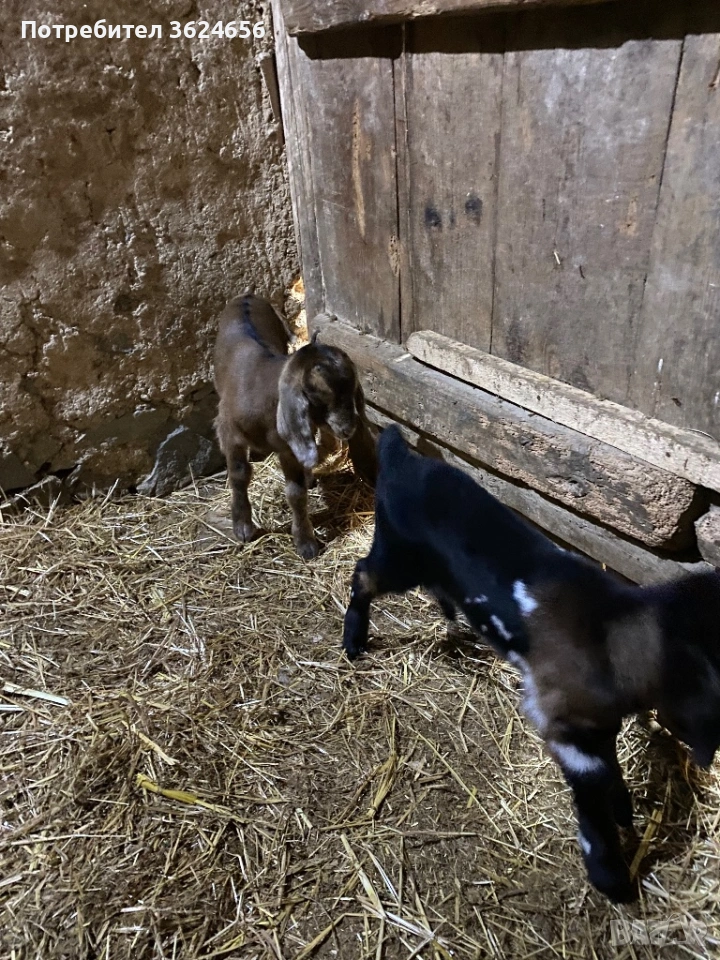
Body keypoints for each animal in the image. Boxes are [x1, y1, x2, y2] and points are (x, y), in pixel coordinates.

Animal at [213, 294, 377, 559]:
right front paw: (243, 526)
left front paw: (305, 542)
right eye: (319, 396)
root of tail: (248, 295)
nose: (349, 429)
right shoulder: (229, 433)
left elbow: (296, 493)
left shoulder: (288, 449)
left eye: (353, 391)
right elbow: (239, 474)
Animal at [343, 424, 720, 902]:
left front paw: (624, 812)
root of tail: (398, 455)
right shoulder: (565, 726)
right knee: (361, 574)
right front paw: (611, 877)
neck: (609, 628)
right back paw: (353, 642)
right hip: (396, 554)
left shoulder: (595, 724)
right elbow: (593, 793)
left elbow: (612, 769)